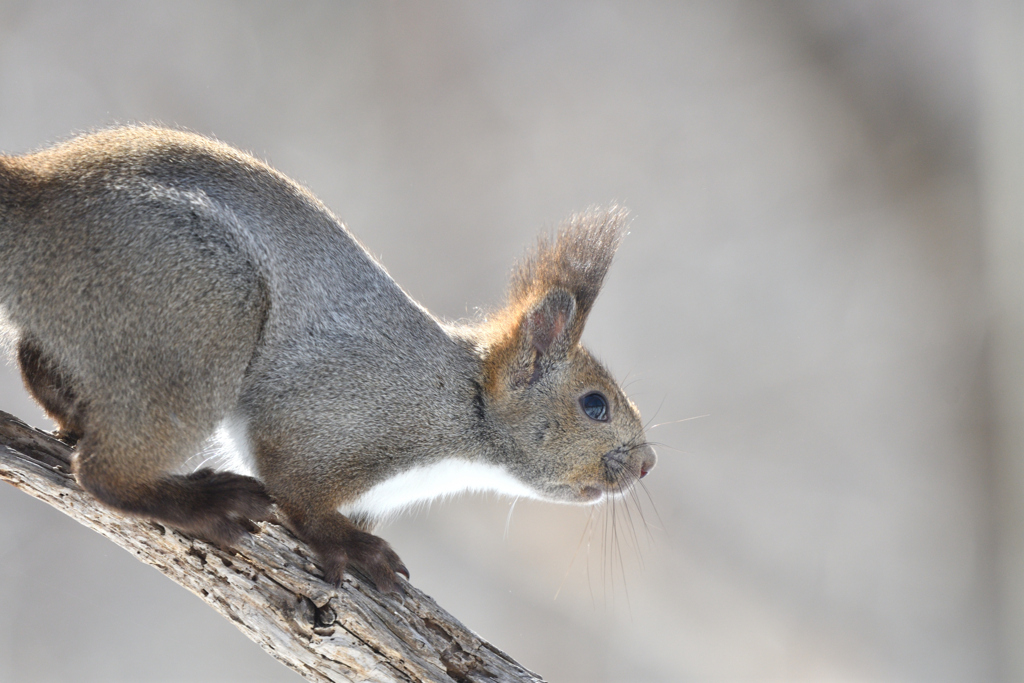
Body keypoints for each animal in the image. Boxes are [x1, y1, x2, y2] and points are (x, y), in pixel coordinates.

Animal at [0, 126, 655, 593]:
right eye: (594, 406)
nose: (647, 463)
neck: (462, 409)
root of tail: (36, 200)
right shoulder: (333, 417)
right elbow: (299, 489)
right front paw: (350, 548)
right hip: (202, 307)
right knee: (103, 474)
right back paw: (204, 503)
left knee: (37, 359)